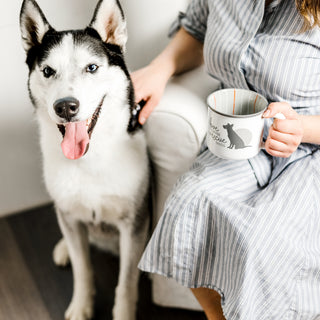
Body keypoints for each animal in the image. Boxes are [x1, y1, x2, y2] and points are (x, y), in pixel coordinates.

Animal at [19, 1, 149, 318]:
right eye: (48, 71)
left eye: (91, 67)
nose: (66, 107)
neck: (90, 158)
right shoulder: (69, 215)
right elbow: (82, 269)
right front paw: (81, 305)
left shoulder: (134, 225)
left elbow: (126, 283)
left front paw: (123, 313)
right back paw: (64, 247)